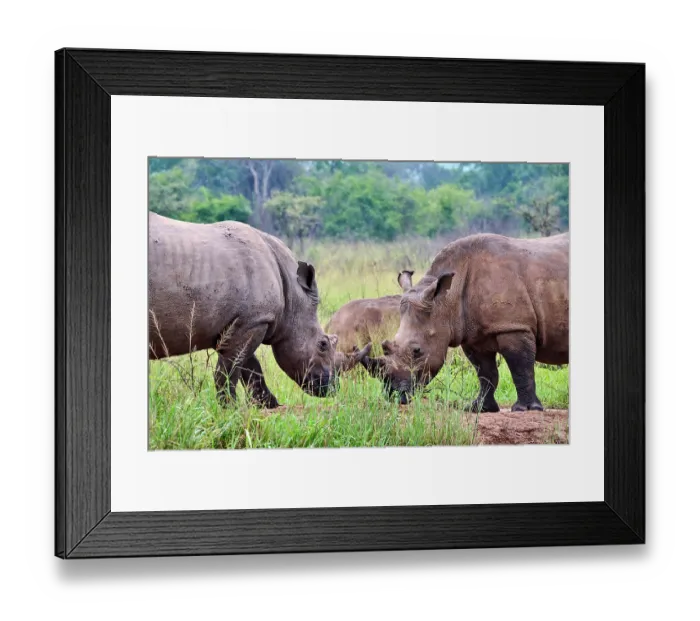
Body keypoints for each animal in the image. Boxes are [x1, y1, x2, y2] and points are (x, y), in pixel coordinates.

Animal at [148, 212, 345, 408]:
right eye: (323, 344)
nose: (332, 388)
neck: (293, 298)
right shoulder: (253, 321)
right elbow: (230, 370)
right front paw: (230, 408)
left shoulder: (246, 322)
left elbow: (250, 367)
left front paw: (270, 405)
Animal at [362, 233, 569, 411]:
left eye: (417, 351)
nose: (394, 394)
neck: (445, 301)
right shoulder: (473, 335)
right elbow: (486, 373)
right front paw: (479, 408)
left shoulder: (514, 326)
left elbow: (521, 368)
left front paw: (525, 409)